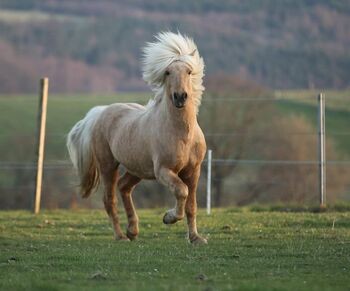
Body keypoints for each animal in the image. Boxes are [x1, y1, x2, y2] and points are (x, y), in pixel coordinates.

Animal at [67, 31, 206, 244]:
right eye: (167, 72)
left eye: (189, 72)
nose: (180, 97)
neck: (182, 135)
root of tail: (100, 112)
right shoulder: (163, 171)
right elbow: (181, 191)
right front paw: (168, 217)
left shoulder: (194, 171)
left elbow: (191, 205)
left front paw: (196, 238)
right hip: (108, 165)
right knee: (109, 200)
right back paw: (121, 236)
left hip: (137, 168)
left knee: (124, 187)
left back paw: (132, 230)